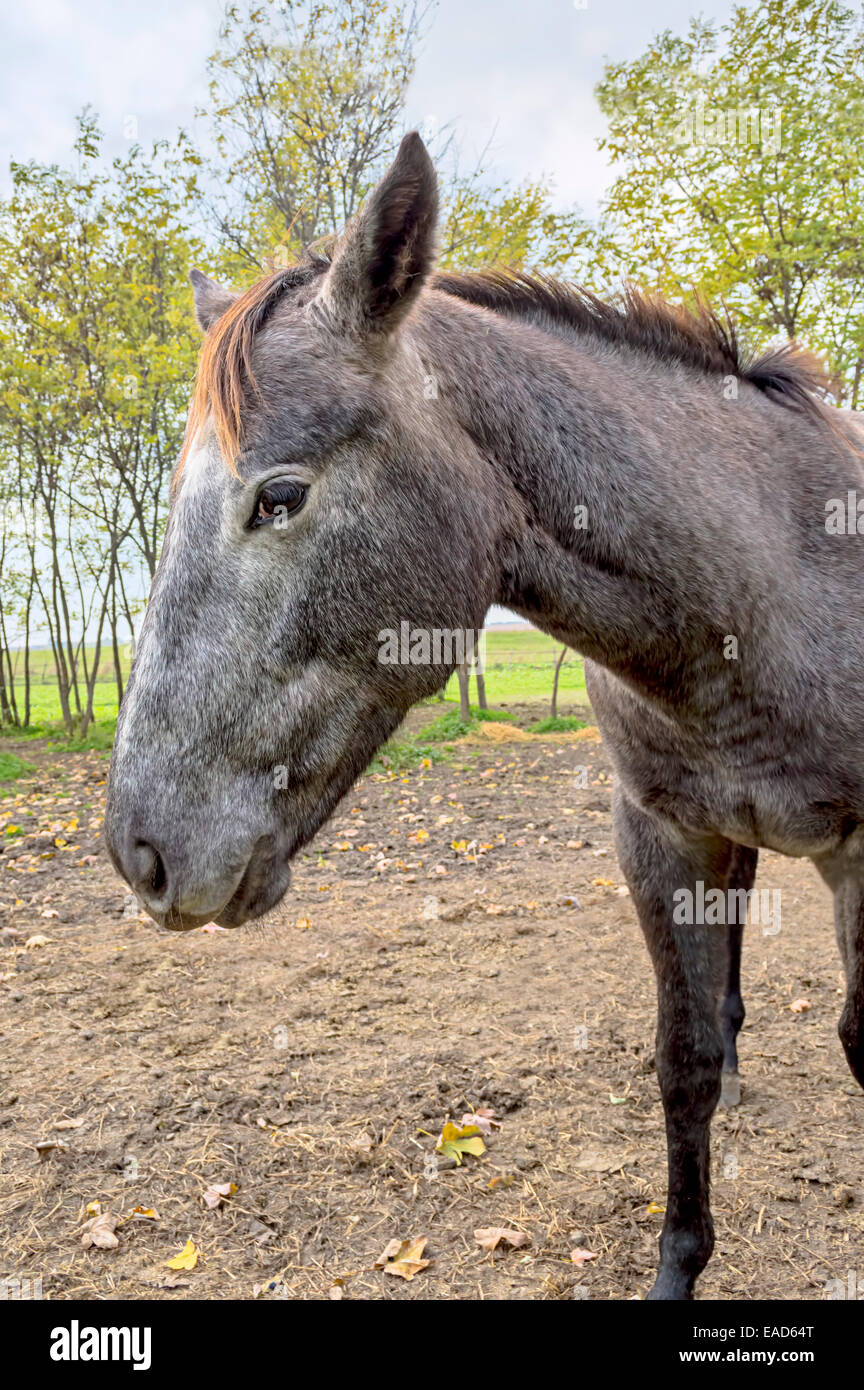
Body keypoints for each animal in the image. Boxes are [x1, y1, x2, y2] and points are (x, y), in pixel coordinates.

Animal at [106, 130, 864, 1301]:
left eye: (280, 496)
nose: (139, 851)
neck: (770, 589)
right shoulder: (661, 835)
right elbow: (682, 1062)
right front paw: (678, 1265)